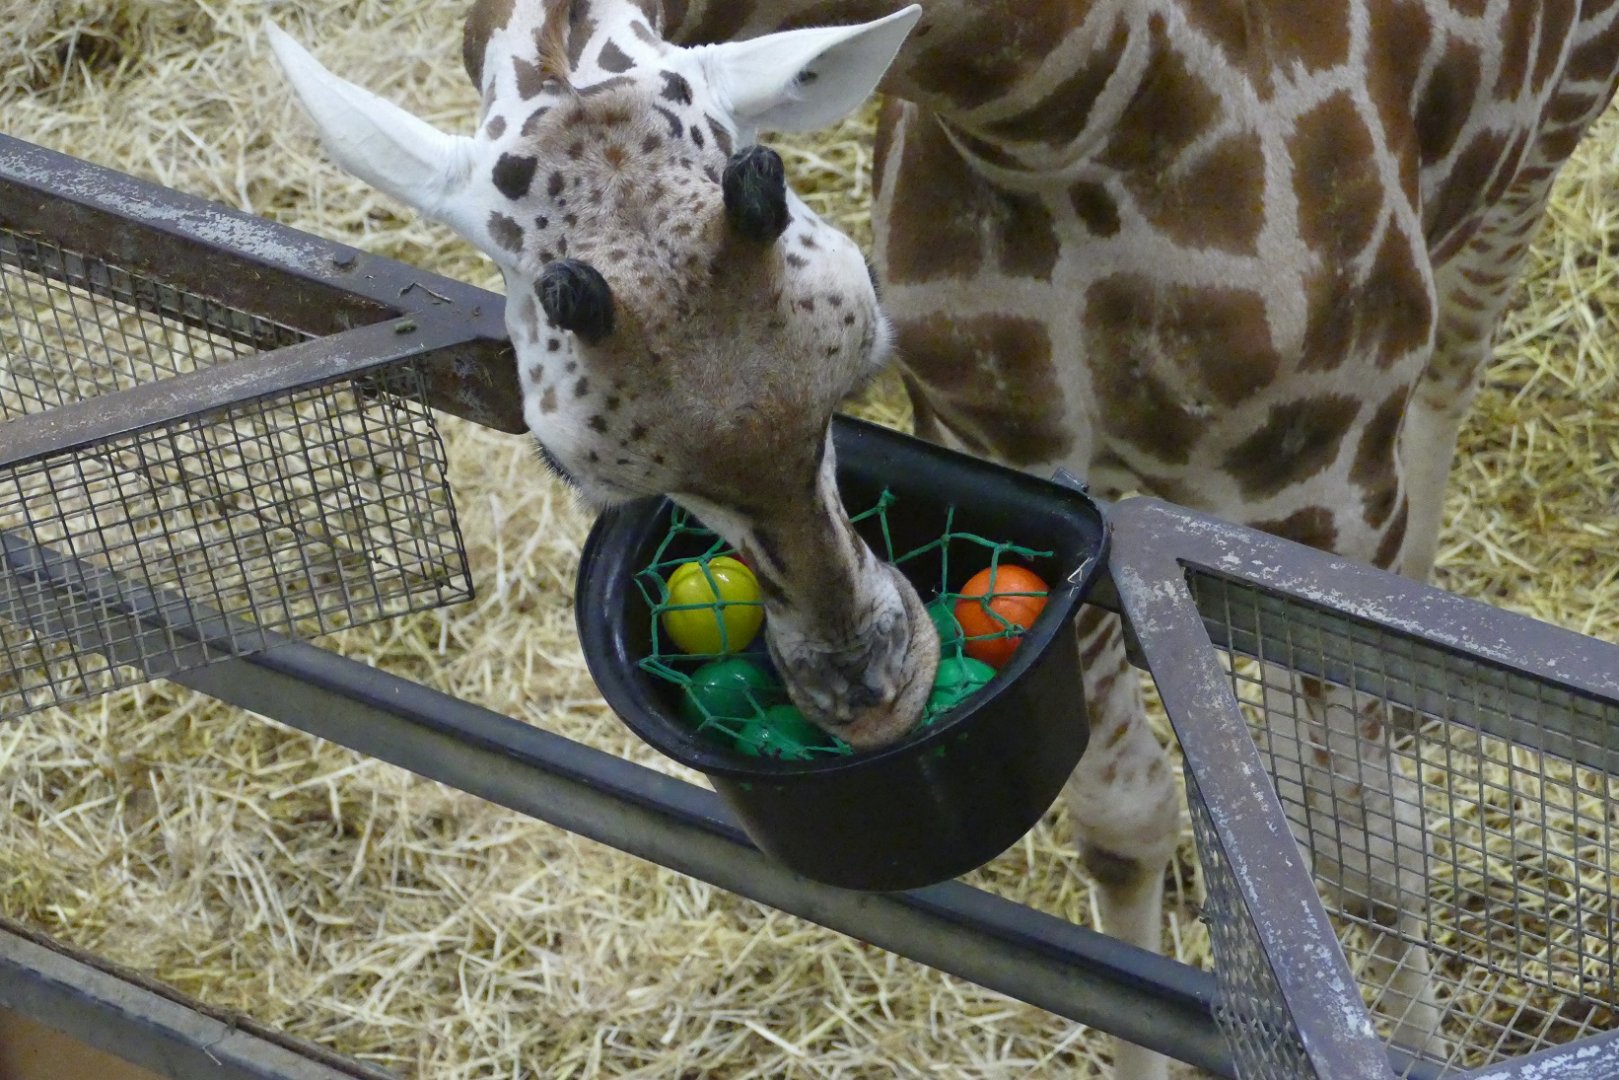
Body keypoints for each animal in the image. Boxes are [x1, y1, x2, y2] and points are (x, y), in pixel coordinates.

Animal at [269, 0, 1619, 1076]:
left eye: (854, 353)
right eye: (574, 461)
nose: (869, 690)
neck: (1056, 105)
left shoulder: (1320, 474)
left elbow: (1362, 868)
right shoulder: (1025, 454)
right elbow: (1119, 824)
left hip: (1548, 128)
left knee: (1460, 349)